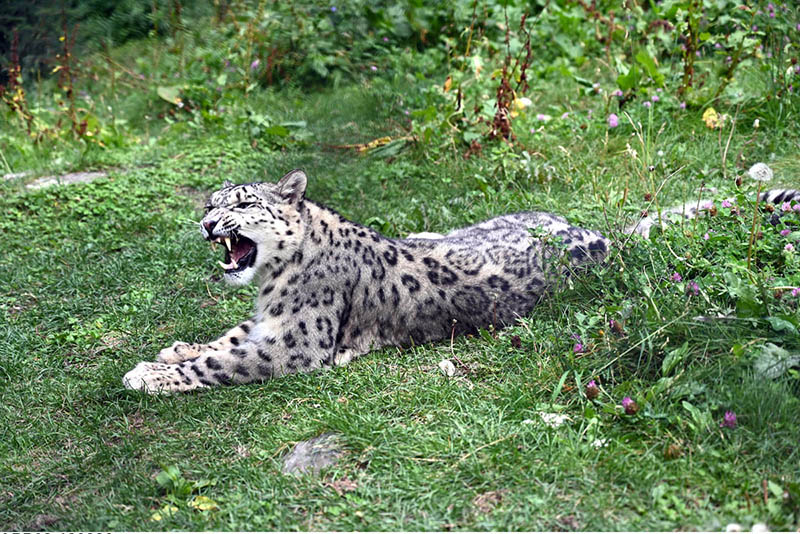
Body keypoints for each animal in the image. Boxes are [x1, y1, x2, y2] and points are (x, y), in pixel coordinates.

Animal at [122, 169, 799, 393]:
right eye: (211, 202)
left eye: (239, 204)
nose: (206, 222)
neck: (272, 282)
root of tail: (593, 235)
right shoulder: (266, 322)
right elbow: (224, 338)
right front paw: (174, 349)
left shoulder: (294, 342)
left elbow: (224, 360)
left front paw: (149, 374)